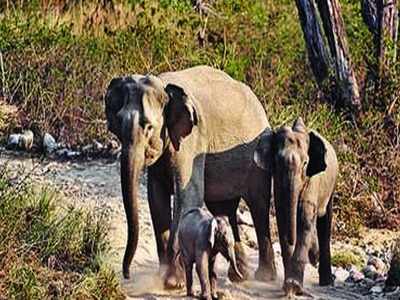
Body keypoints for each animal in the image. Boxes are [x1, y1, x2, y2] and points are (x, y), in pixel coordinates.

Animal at [104, 66, 276, 288]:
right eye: (117, 124)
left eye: (149, 127)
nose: (126, 274)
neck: (164, 87)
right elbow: (156, 199)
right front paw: (166, 279)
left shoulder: (192, 141)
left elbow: (187, 196)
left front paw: (171, 283)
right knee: (224, 209)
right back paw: (240, 276)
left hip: (257, 157)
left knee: (258, 205)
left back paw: (265, 277)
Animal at [253, 116, 338, 296]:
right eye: (277, 162)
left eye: (306, 163)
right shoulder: (277, 181)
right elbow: (283, 219)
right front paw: (289, 286)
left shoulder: (314, 180)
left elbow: (305, 220)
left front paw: (294, 286)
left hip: (331, 185)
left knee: (325, 222)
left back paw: (326, 281)